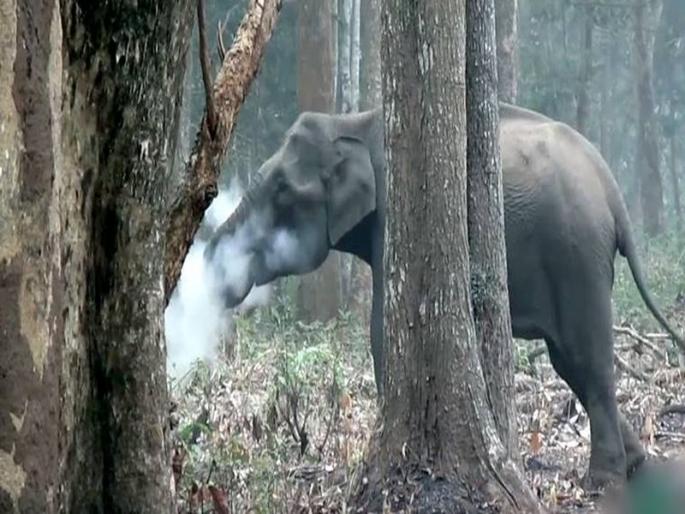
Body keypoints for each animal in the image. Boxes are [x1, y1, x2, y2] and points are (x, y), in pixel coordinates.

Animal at [203, 103, 684, 490]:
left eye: (282, 190)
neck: (353, 119)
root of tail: (611, 189)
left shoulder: (397, 213)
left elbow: (383, 327)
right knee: (569, 361)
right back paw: (634, 464)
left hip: (575, 253)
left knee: (585, 357)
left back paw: (602, 481)